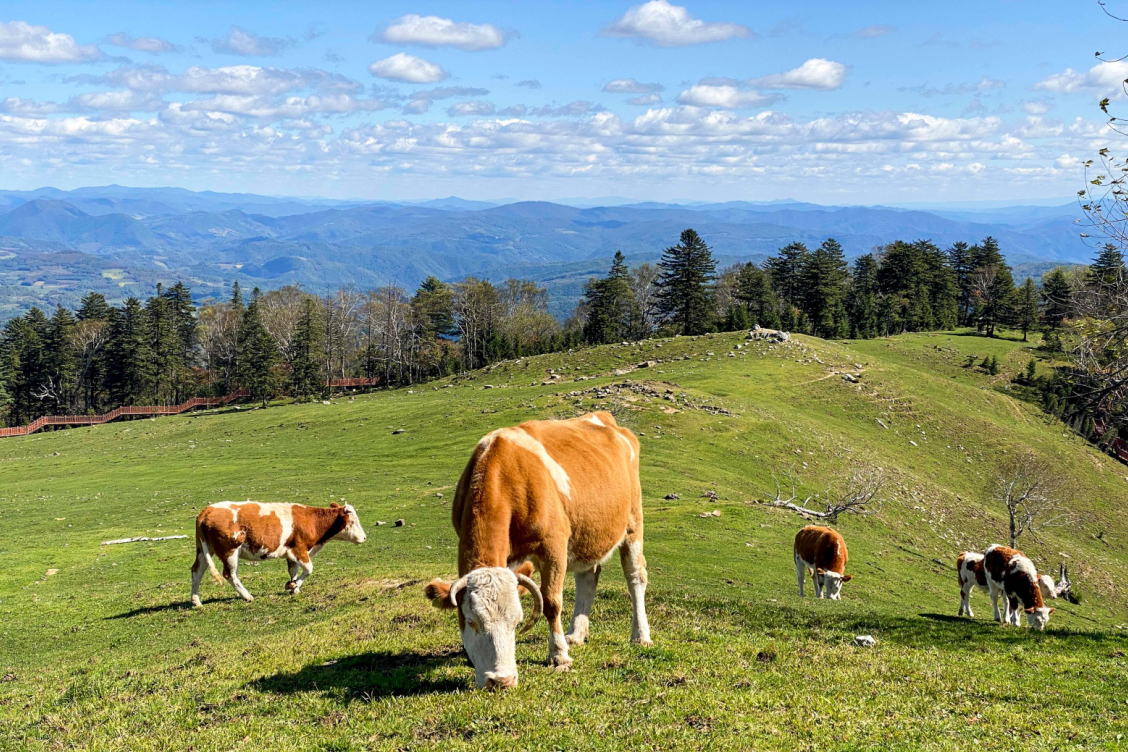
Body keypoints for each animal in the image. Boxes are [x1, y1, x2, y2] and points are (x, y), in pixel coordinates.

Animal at [191, 500, 367, 604]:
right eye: (353, 521)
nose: (364, 537)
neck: (311, 520)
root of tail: (207, 511)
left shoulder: (291, 553)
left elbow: (293, 571)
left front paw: (294, 587)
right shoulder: (300, 549)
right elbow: (308, 569)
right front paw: (292, 585)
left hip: (203, 550)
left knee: (197, 571)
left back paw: (196, 601)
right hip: (230, 551)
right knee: (230, 575)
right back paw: (247, 596)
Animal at [424, 414, 654, 689]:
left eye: (517, 622)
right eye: (471, 621)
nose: (502, 680)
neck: (506, 476)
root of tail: (603, 418)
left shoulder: (554, 546)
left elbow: (552, 602)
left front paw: (559, 655)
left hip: (633, 524)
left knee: (635, 578)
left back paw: (640, 635)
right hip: (587, 532)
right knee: (588, 577)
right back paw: (576, 634)